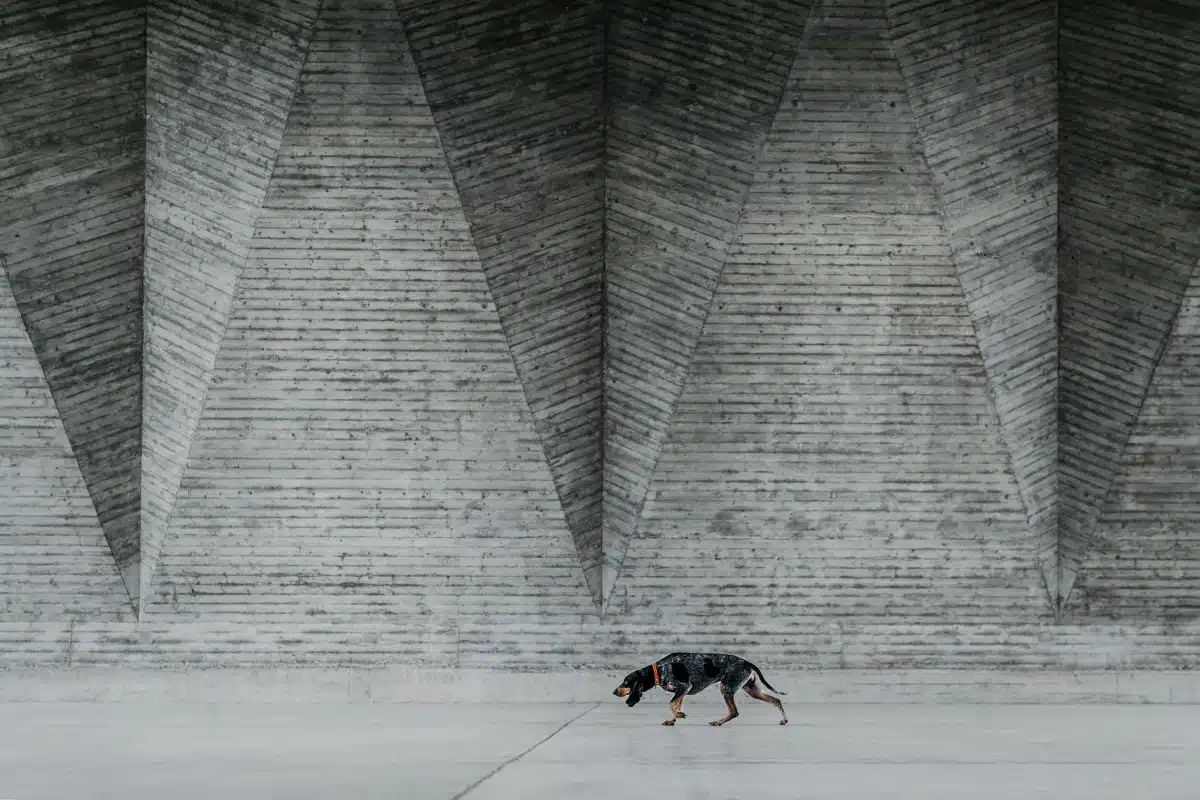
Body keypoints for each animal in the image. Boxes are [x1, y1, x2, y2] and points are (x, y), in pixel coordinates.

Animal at [609, 652, 787, 729]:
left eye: (626, 681)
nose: (614, 692)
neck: (658, 670)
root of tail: (748, 663)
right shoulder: (682, 691)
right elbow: (675, 705)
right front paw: (673, 719)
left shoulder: (683, 687)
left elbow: (671, 705)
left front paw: (679, 715)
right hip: (751, 689)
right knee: (776, 700)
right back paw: (784, 720)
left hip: (726, 688)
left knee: (734, 712)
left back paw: (718, 722)